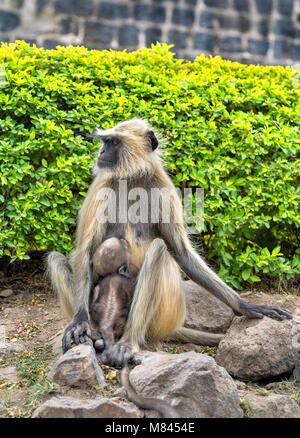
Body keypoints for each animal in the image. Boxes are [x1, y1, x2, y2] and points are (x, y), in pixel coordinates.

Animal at [47, 117, 292, 356]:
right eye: (105, 141)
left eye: (113, 142)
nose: (101, 151)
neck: (132, 178)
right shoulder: (102, 186)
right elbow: (85, 250)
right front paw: (80, 321)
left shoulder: (164, 188)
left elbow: (181, 252)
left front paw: (244, 305)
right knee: (56, 258)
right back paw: (96, 335)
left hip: (162, 315)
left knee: (158, 249)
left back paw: (127, 343)